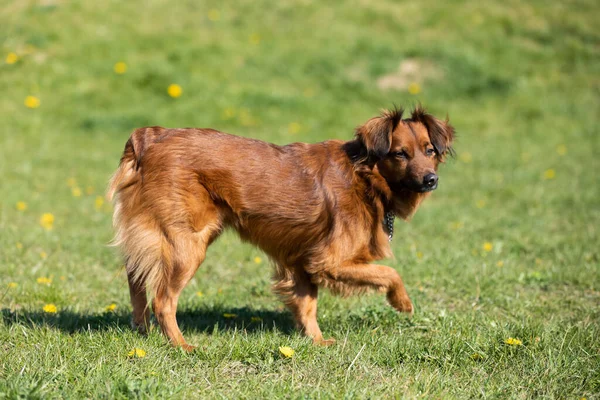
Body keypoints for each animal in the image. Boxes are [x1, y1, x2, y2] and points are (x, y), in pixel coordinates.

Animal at [109, 106, 454, 350]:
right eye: (399, 154)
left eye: (430, 151)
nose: (431, 180)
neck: (364, 176)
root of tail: (150, 136)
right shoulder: (329, 261)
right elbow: (389, 273)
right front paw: (402, 302)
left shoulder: (303, 261)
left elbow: (307, 304)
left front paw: (316, 341)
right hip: (188, 244)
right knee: (163, 300)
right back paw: (181, 345)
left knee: (136, 281)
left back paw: (143, 331)